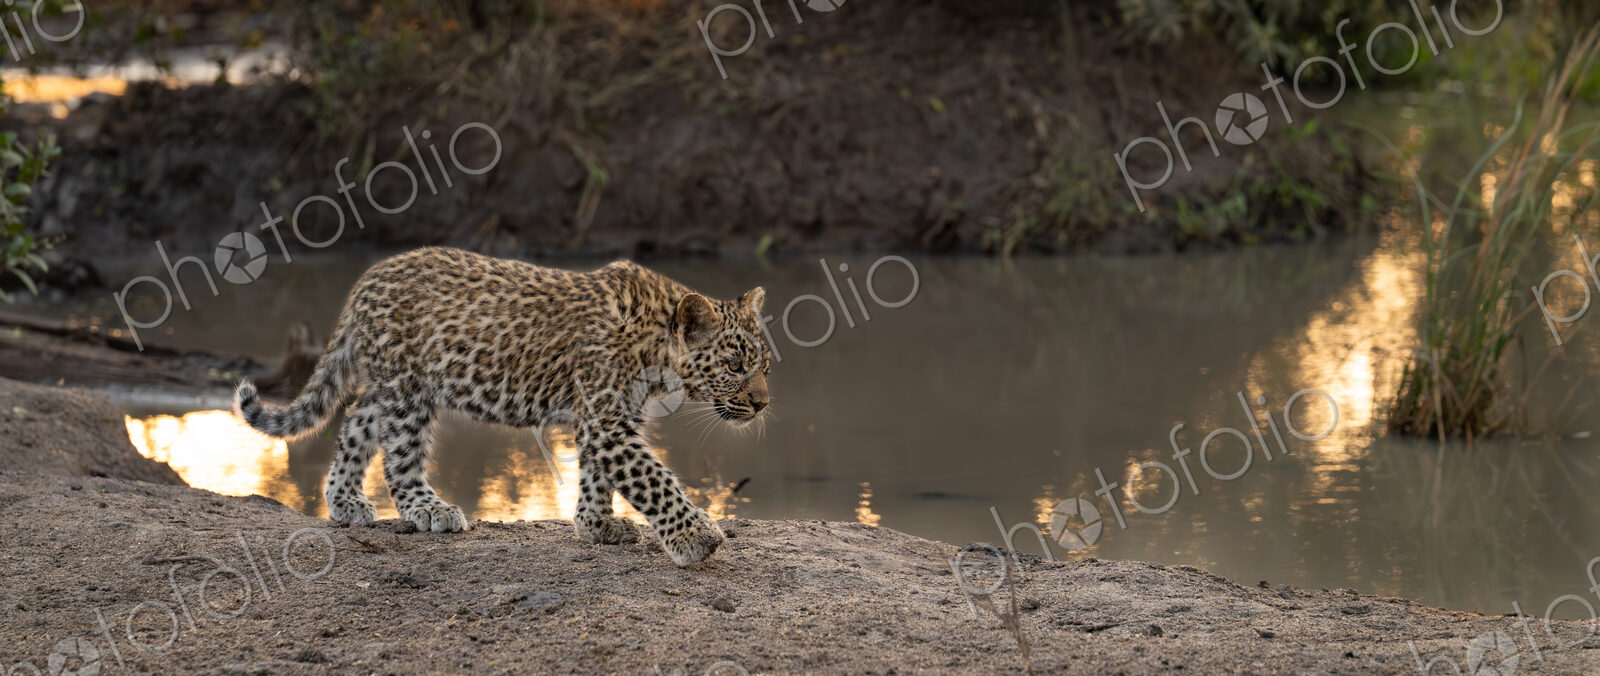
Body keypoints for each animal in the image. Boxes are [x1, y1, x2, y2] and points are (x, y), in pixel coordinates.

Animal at [232, 247, 772, 566]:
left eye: (765, 363)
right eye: (736, 364)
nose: (763, 403)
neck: (656, 346)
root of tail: (367, 279)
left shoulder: (607, 418)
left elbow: (599, 474)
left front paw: (596, 526)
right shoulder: (606, 418)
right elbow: (651, 478)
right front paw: (696, 536)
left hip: (395, 382)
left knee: (357, 421)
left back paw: (345, 501)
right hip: (409, 389)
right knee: (399, 455)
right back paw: (430, 510)